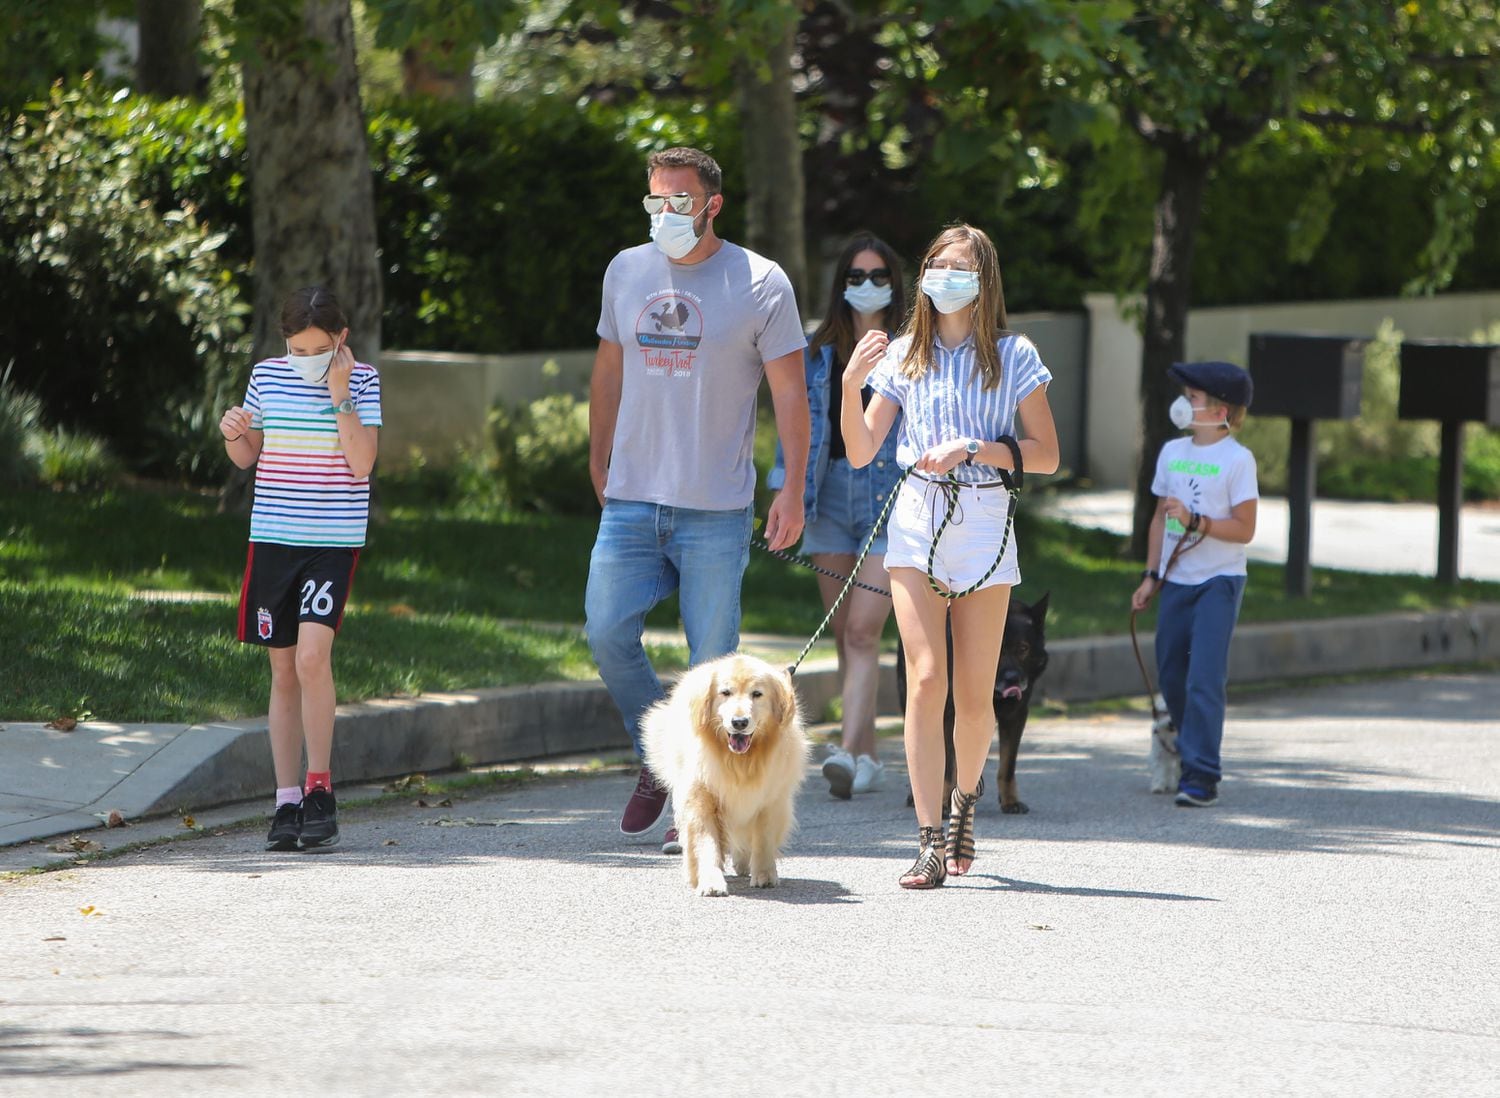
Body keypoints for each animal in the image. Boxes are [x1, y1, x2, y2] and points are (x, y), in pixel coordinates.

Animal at [642, 651, 810, 894]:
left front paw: (765, 875)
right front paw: (710, 881)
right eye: (725, 692)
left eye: (757, 694)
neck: (740, 762)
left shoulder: (770, 799)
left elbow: (763, 839)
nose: (739, 722)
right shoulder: (701, 799)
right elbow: (706, 843)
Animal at [900, 591, 1056, 816]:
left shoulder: (1015, 716)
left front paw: (1010, 800)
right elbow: (946, 765)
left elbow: (1008, 765)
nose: (1013, 679)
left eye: (1023, 649)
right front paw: (942, 802)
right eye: (996, 652)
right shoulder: (947, 716)